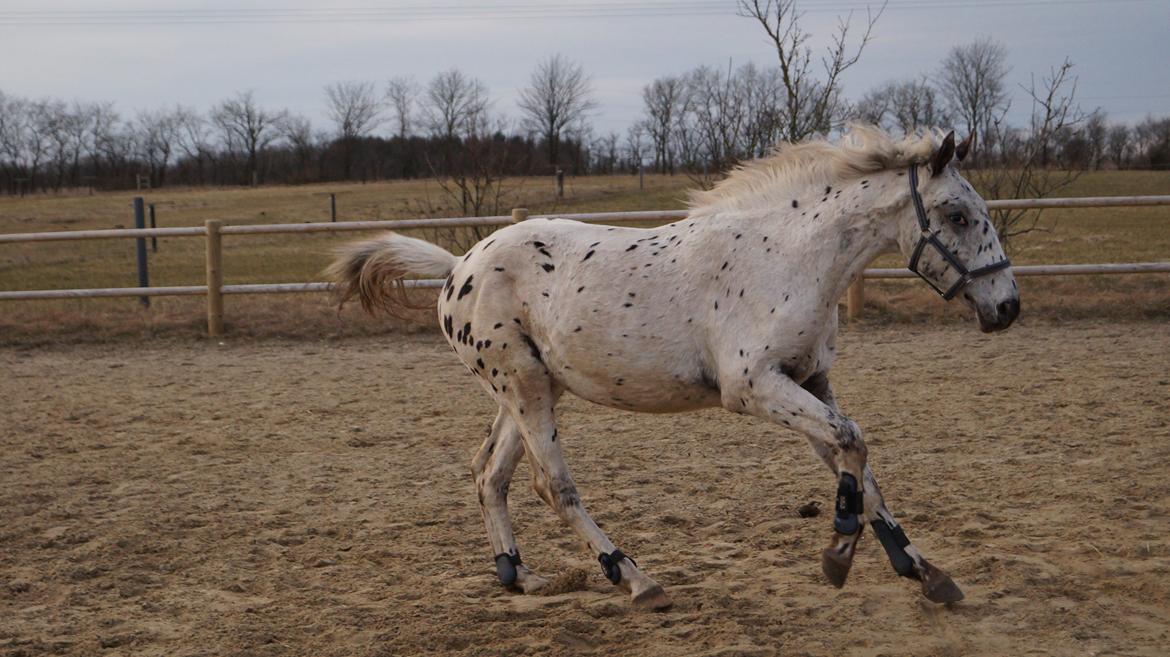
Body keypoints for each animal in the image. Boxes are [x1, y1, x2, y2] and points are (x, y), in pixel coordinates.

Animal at [327, 126, 1015, 607]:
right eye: (957, 215)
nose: (1006, 308)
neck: (789, 258)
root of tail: (456, 268)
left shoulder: (811, 381)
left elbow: (859, 464)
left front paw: (924, 572)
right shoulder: (755, 387)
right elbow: (853, 445)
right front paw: (840, 553)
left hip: (529, 389)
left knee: (487, 474)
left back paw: (519, 576)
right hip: (524, 390)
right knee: (553, 486)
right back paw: (635, 580)